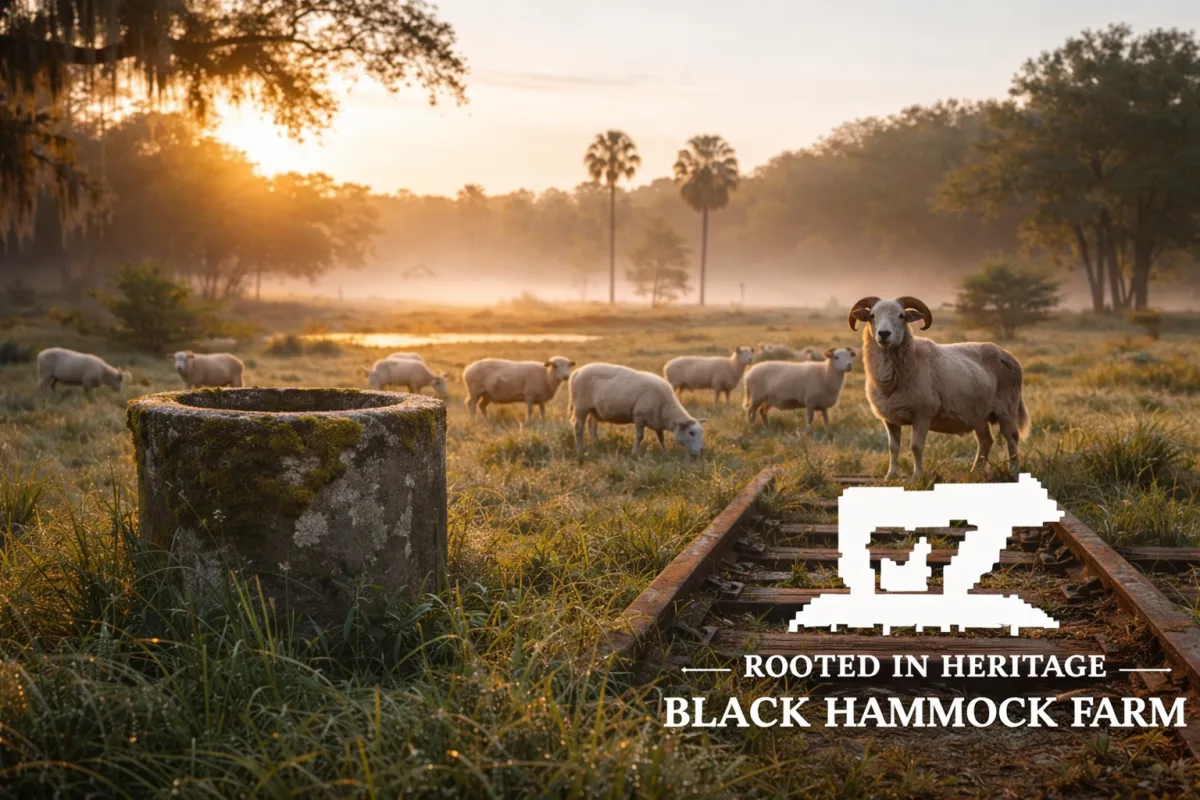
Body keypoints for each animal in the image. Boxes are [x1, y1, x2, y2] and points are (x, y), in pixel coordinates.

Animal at [569, 362, 707, 455]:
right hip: (581, 407)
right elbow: (640, 437)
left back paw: (595, 443)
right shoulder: (639, 416)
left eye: (702, 432)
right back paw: (580, 449)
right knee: (578, 427)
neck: (666, 408)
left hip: (593, 409)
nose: (701, 451)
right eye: (691, 432)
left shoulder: (657, 421)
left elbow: (661, 437)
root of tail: (577, 372)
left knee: (591, 424)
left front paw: (665, 452)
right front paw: (634, 453)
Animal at [848, 295, 1030, 481]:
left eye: (901, 316)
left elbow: (916, 447)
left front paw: (917, 477)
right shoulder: (890, 419)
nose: (884, 334)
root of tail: (1009, 356)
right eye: (872, 315)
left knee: (1012, 439)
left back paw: (1013, 472)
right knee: (986, 441)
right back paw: (975, 472)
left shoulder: (922, 415)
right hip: (979, 415)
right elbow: (893, 448)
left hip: (1006, 409)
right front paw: (890, 476)